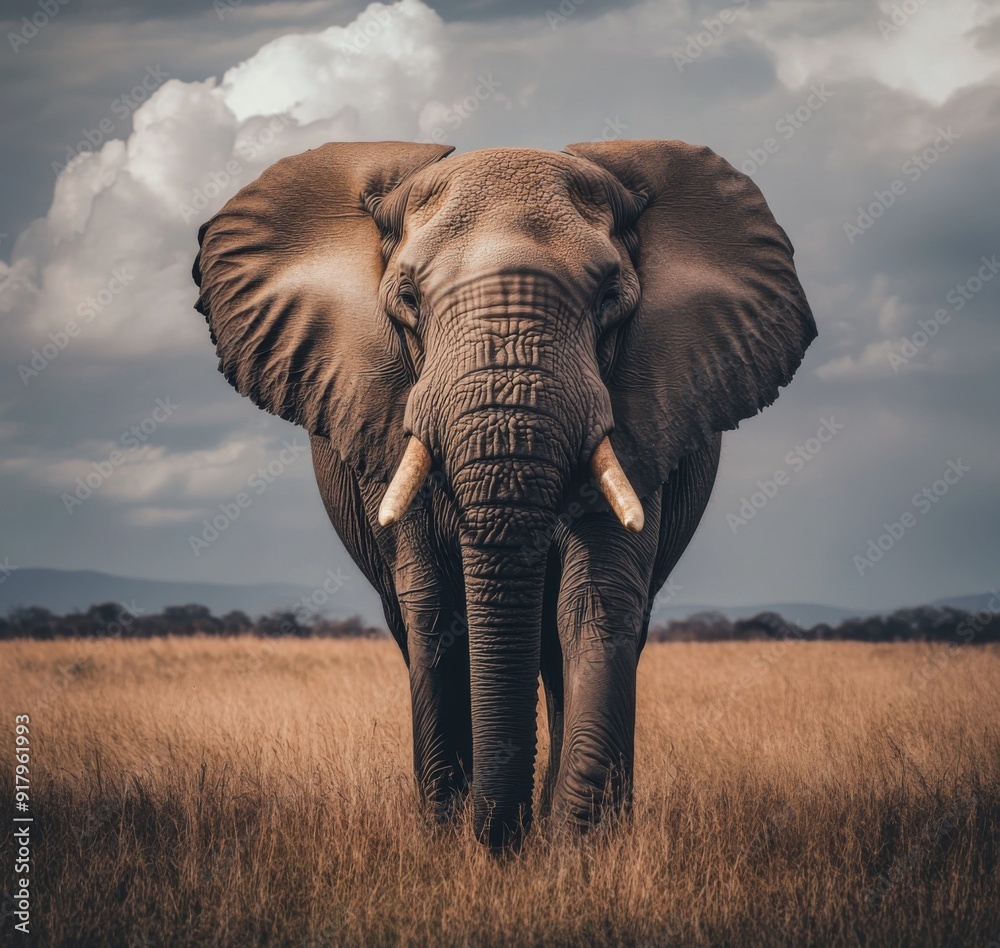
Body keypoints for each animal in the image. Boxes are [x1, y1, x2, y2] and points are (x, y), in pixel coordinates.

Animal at [192, 139, 816, 850]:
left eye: (610, 298)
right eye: (408, 299)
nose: (501, 841)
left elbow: (595, 601)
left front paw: (579, 849)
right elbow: (434, 607)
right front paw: (451, 840)